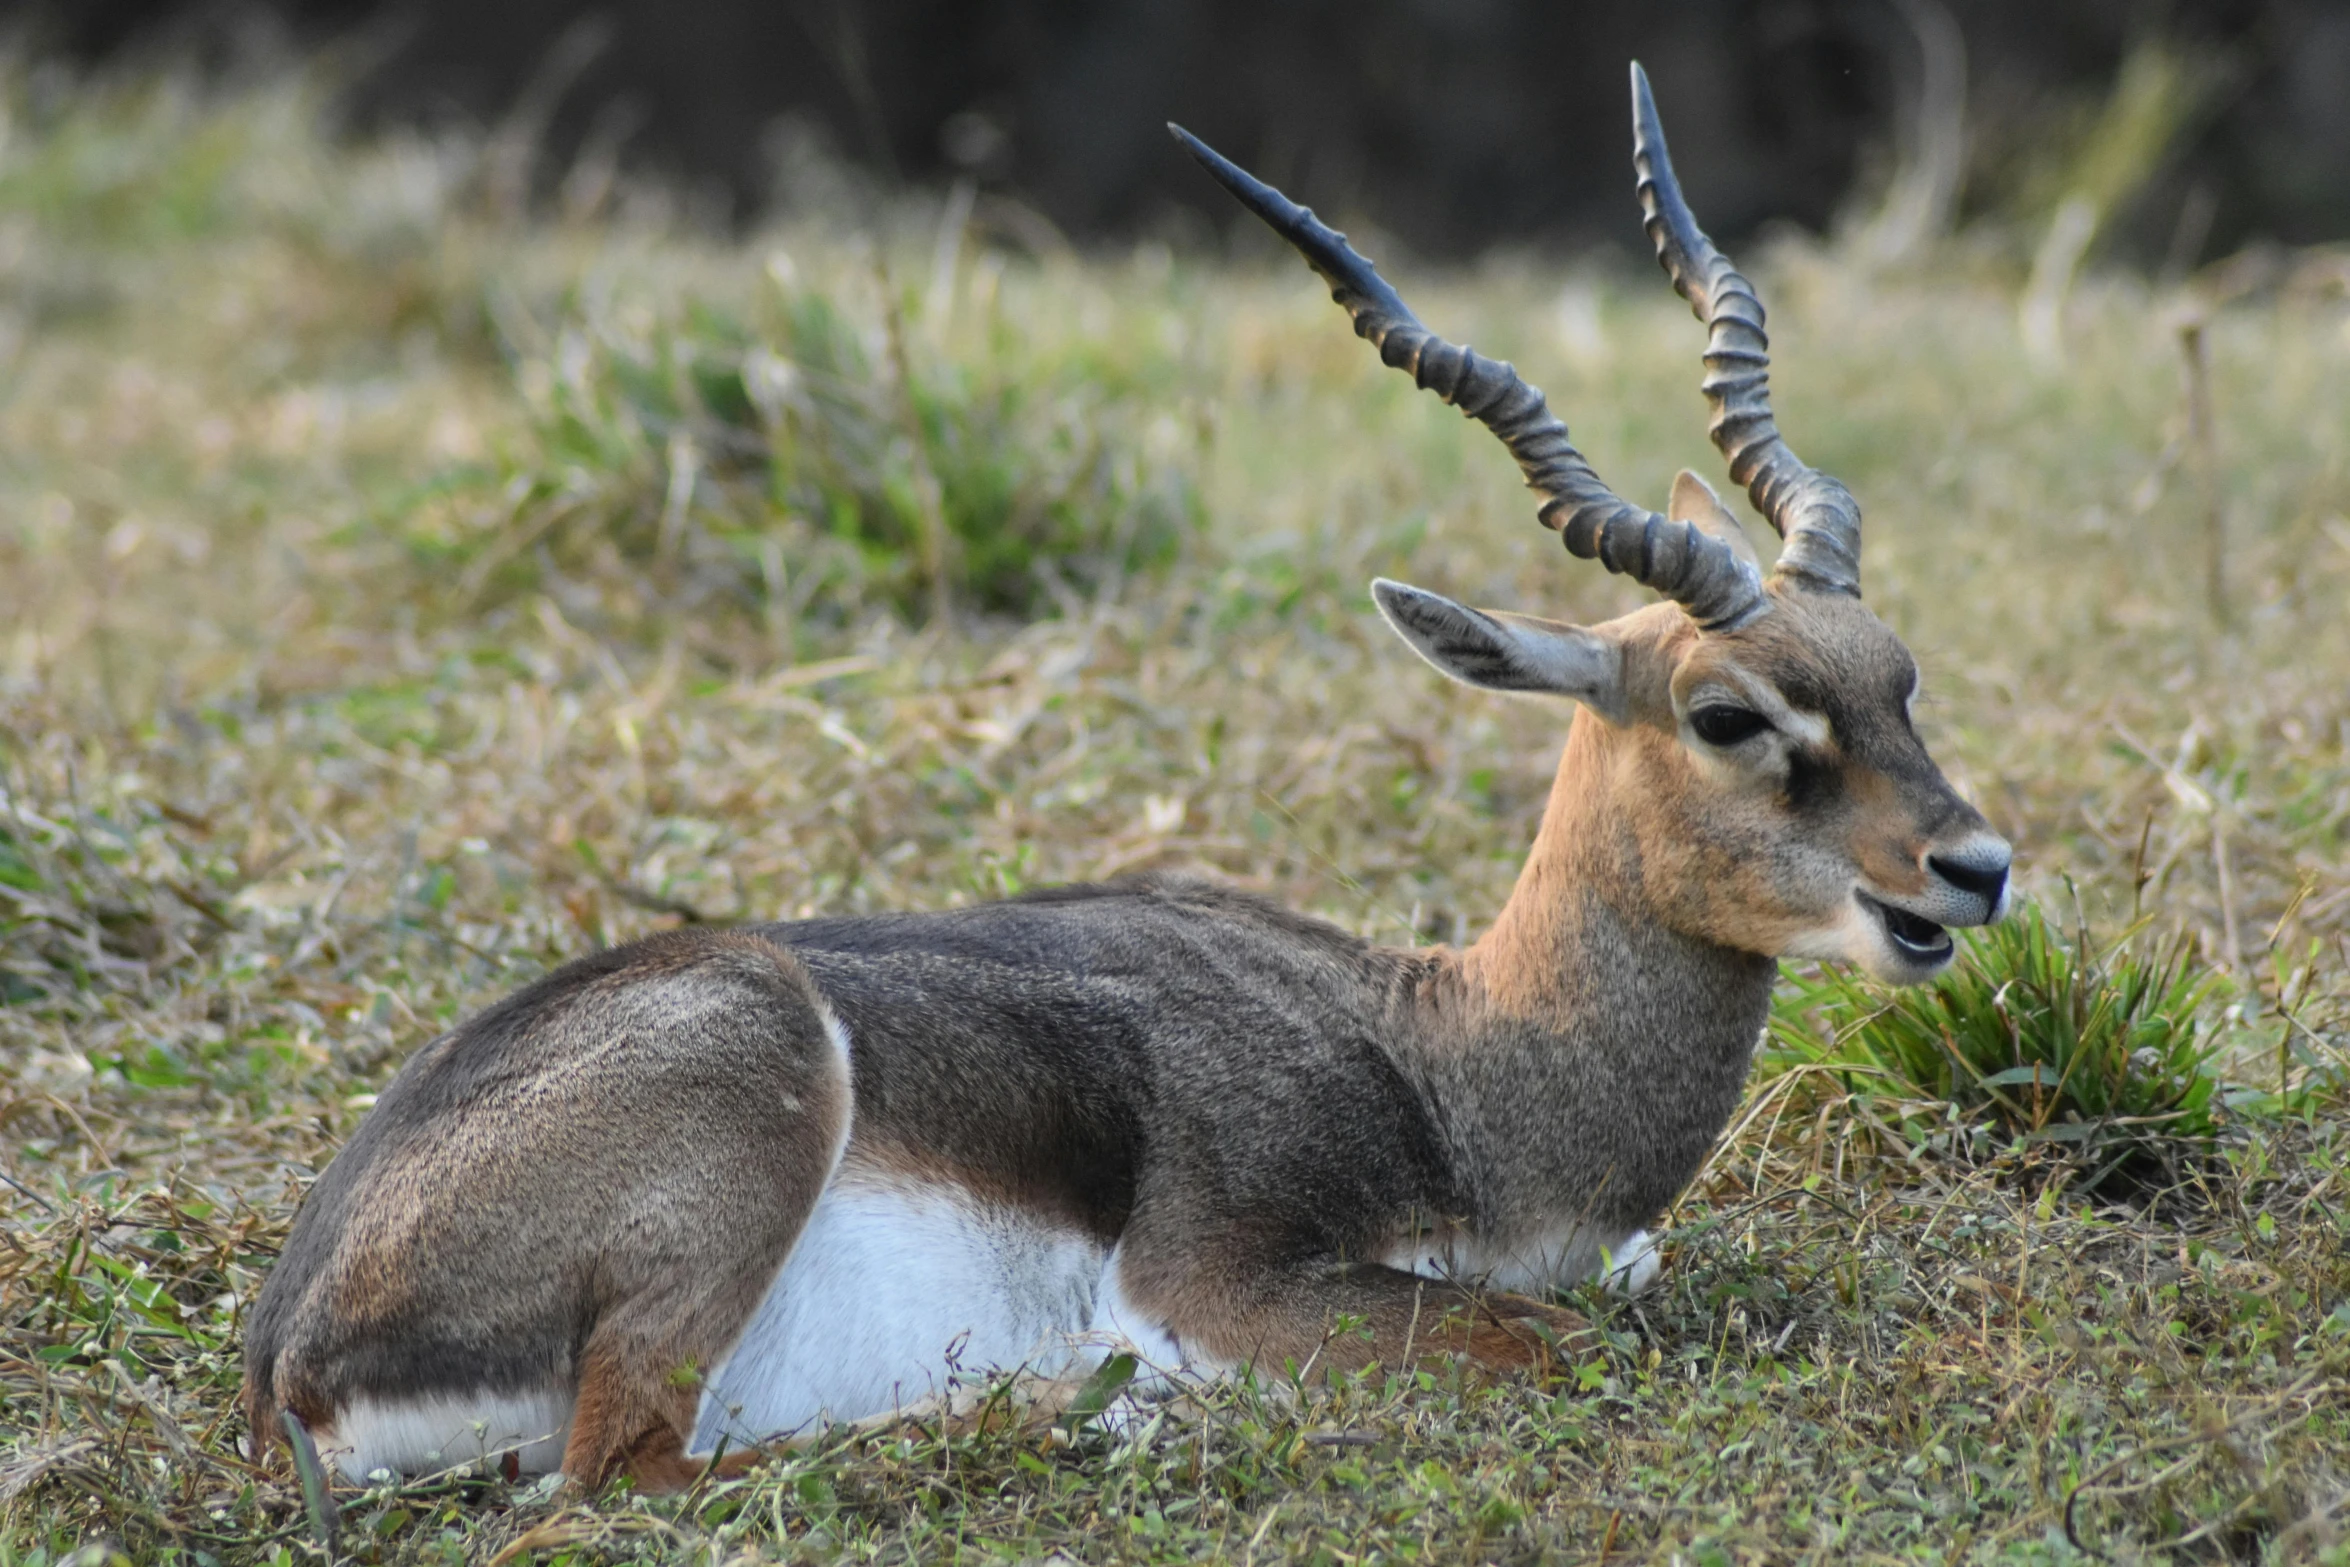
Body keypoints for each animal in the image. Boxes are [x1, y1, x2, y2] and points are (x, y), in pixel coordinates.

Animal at [238, 67, 2011, 1494]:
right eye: (1726, 713)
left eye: (1898, 671)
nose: (1972, 869)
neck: (1459, 1057)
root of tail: (287, 1359)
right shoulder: (1228, 1276)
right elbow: (1550, 1345)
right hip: (753, 1094)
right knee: (616, 1474)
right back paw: (1082, 1405)